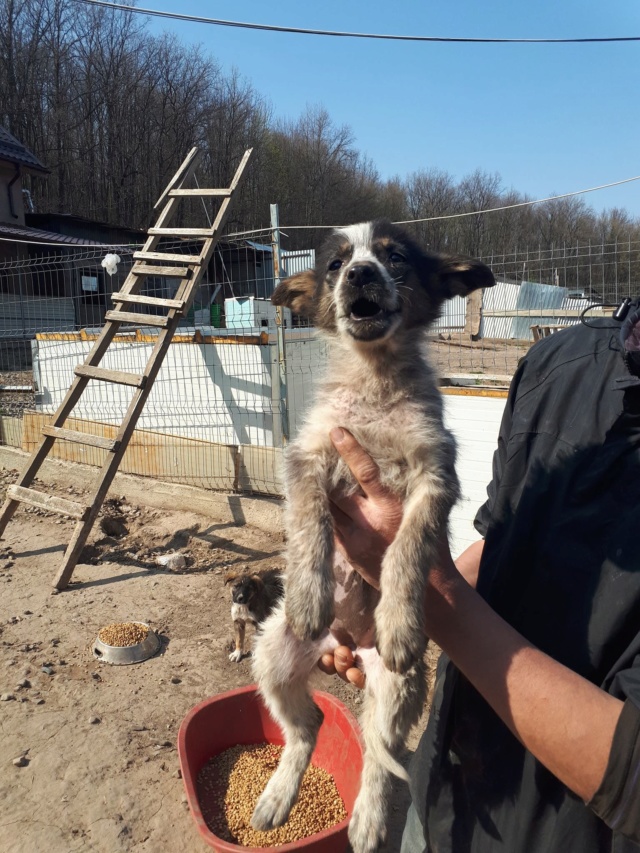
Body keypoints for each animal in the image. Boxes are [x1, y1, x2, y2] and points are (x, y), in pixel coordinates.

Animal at [251, 220, 496, 852]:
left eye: (395, 258)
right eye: (337, 265)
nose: (361, 274)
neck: (374, 380)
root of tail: (341, 643)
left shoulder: (435, 475)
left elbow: (407, 550)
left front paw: (401, 619)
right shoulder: (308, 456)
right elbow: (309, 525)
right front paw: (309, 593)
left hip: (396, 685)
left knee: (381, 757)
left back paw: (364, 821)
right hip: (272, 653)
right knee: (308, 725)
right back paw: (277, 798)